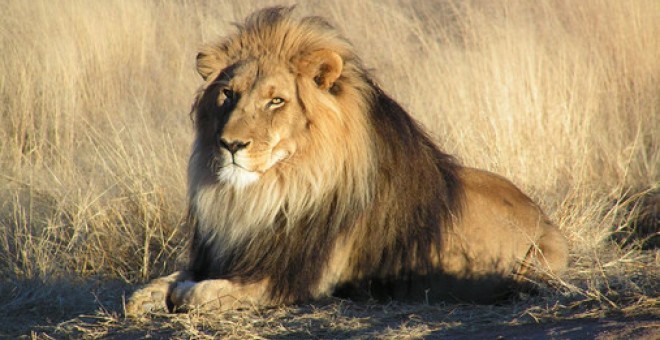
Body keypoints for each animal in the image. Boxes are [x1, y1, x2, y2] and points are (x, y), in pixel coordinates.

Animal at [126, 7, 568, 316]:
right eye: (228, 95)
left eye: (276, 100)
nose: (230, 144)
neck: (267, 193)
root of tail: (542, 214)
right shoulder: (224, 254)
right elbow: (153, 286)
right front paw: (150, 295)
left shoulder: (295, 279)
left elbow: (199, 293)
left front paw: (181, 294)